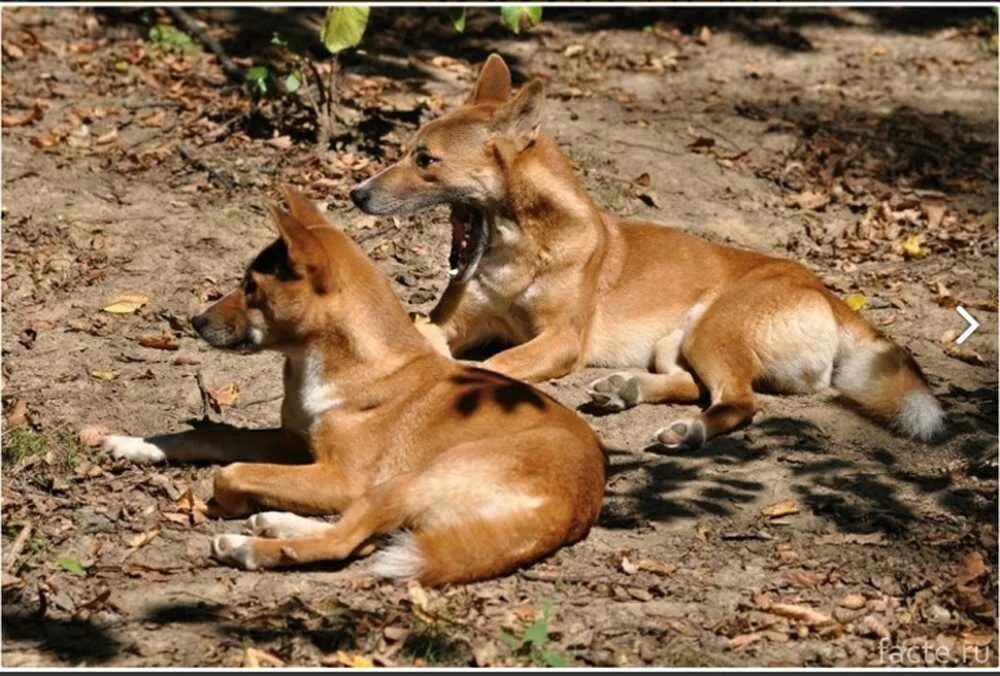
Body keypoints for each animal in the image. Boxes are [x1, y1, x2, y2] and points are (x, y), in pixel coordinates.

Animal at [101, 186, 604, 588]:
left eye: (251, 288)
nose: (195, 321)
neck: (339, 364)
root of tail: (571, 510)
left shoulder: (339, 478)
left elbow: (231, 470)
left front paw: (224, 503)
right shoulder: (291, 442)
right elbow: (209, 438)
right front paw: (134, 444)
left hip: (406, 481)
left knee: (345, 542)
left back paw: (246, 546)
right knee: (363, 540)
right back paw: (276, 522)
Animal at [352, 52, 944, 448]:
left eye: (425, 160)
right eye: (408, 151)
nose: (356, 194)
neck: (518, 251)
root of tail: (822, 290)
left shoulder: (562, 341)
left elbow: (498, 366)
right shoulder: (459, 321)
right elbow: (439, 336)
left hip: (714, 330)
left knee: (738, 403)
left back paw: (687, 431)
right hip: (674, 344)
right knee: (691, 384)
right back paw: (626, 389)